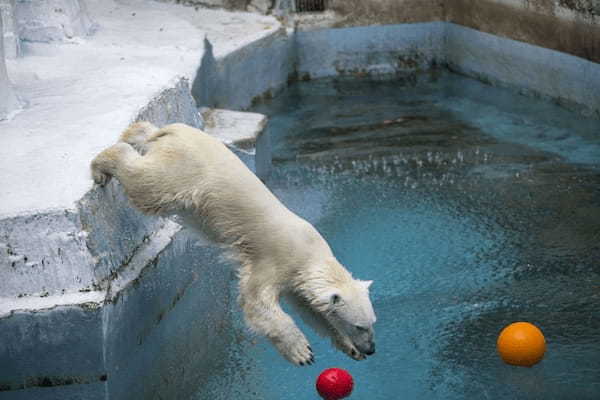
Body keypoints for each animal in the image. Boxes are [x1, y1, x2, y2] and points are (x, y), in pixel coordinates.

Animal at [90, 122, 376, 366]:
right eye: (360, 325)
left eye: (373, 322)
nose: (372, 349)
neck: (310, 255)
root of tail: (173, 130)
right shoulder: (275, 258)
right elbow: (256, 303)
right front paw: (301, 352)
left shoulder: (297, 279)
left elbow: (310, 310)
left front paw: (348, 347)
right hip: (183, 173)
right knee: (147, 185)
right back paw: (102, 166)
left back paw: (132, 133)